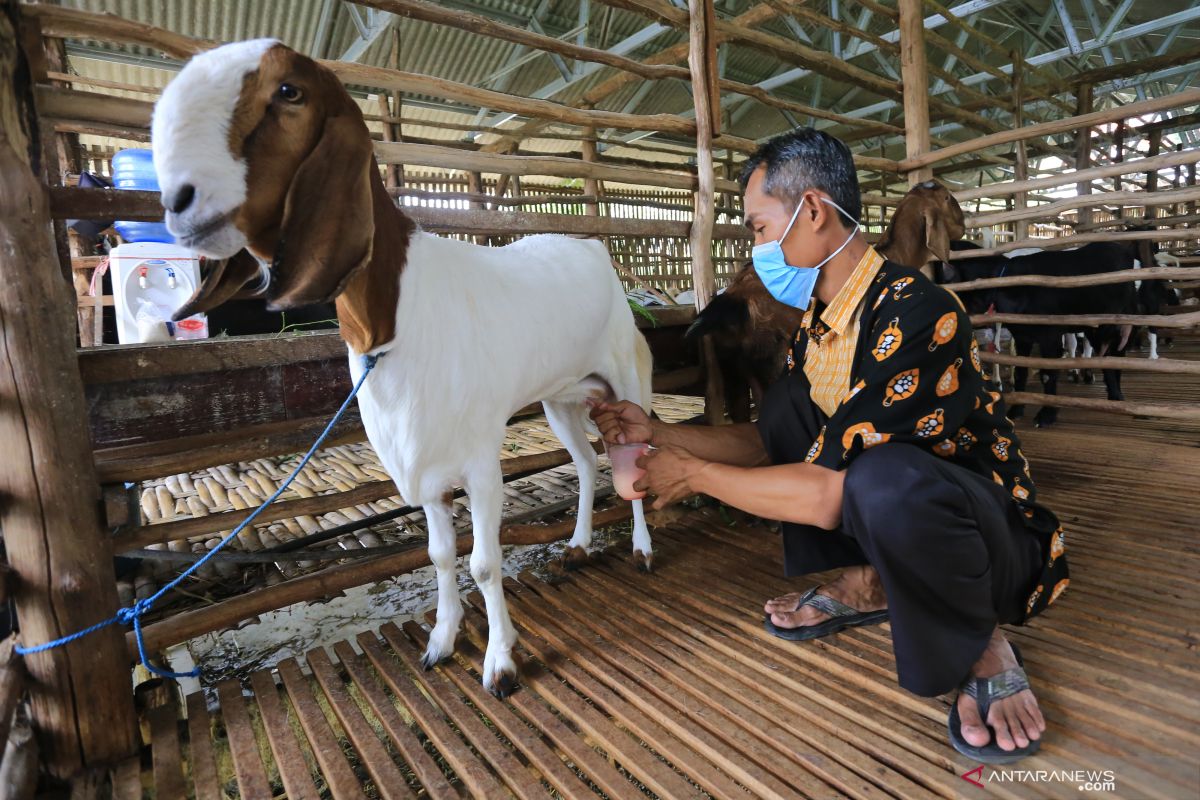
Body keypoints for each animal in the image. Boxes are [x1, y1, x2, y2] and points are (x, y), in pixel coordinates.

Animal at [154, 40, 657, 695]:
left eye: (289, 91)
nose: (178, 203)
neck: (390, 326)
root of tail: (595, 250)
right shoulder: (425, 466)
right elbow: (440, 556)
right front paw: (442, 640)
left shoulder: (479, 460)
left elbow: (484, 562)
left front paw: (500, 663)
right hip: (562, 399)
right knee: (589, 463)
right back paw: (576, 544)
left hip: (625, 379)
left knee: (634, 461)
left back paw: (644, 549)